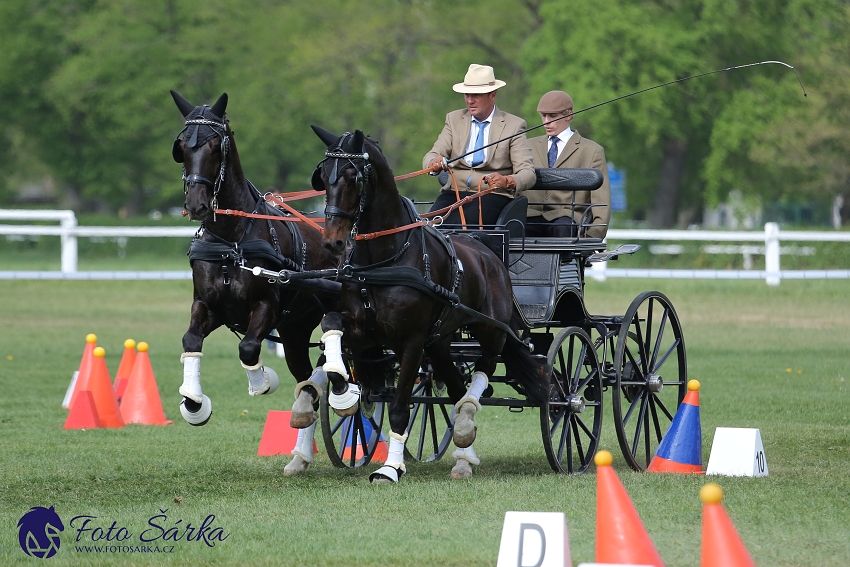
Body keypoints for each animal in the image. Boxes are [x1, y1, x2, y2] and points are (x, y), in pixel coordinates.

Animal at [169, 92, 342, 474]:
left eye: (216, 145)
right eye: (182, 146)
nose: (196, 205)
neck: (232, 239)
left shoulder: (266, 307)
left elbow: (248, 348)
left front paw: (262, 381)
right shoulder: (208, 306)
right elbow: (191, 339)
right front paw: (194, 402)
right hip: (294, 332)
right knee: (307, 381)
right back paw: (301, 453)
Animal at [308, 126, 548, 482]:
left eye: (353, 177)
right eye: (323, 176)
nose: (332, 242)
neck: (385, 258)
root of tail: (488, 252)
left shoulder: (411, 341)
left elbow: (399, 408)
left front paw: (391, 467)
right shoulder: (364, 329)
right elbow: (331, 325)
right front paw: (341, 390)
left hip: (490, 331)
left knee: (482, 372)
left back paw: (466, 422)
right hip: (440, 342)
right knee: (455, 387)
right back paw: (464, 455)